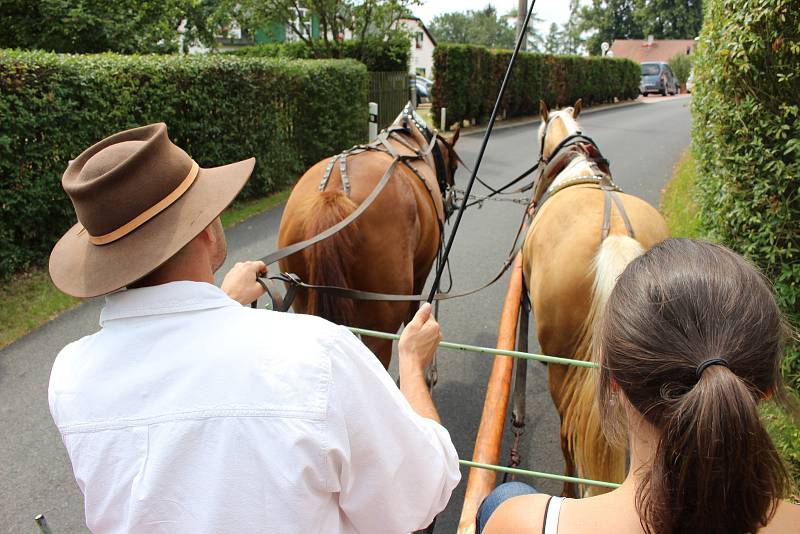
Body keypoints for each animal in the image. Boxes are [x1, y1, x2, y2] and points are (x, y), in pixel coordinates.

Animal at [278, 108, 460, 368]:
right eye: (454, 166)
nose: (452, 201)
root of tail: (333, 194)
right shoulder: (421, 275)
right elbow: (413, 316)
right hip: (381, 326)